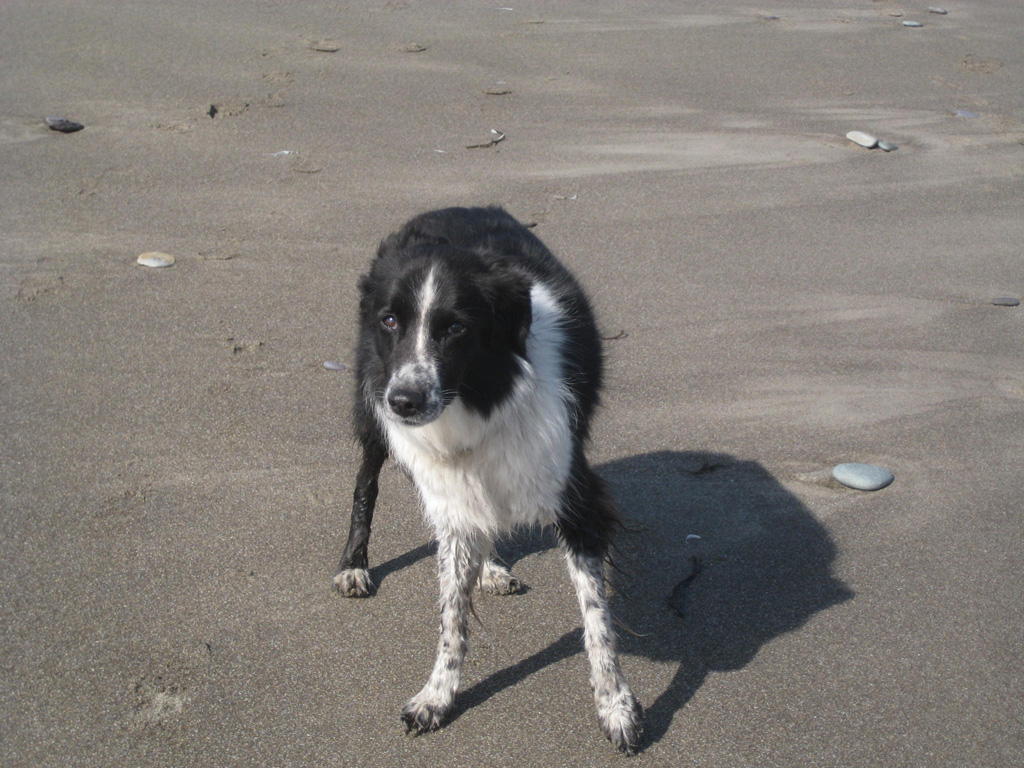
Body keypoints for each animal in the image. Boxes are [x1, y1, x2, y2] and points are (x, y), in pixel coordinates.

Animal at [333, 207, 638, 753]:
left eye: (455, 328)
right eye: (390, 321)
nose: (404, 402)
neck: (481, 397)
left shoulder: (576, 498)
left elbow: (596, 618)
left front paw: (615, 705)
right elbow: (451, 614)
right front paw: (437, 695)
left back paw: (490, 567)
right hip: (371, 403)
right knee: (366, 482)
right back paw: (354, 564)